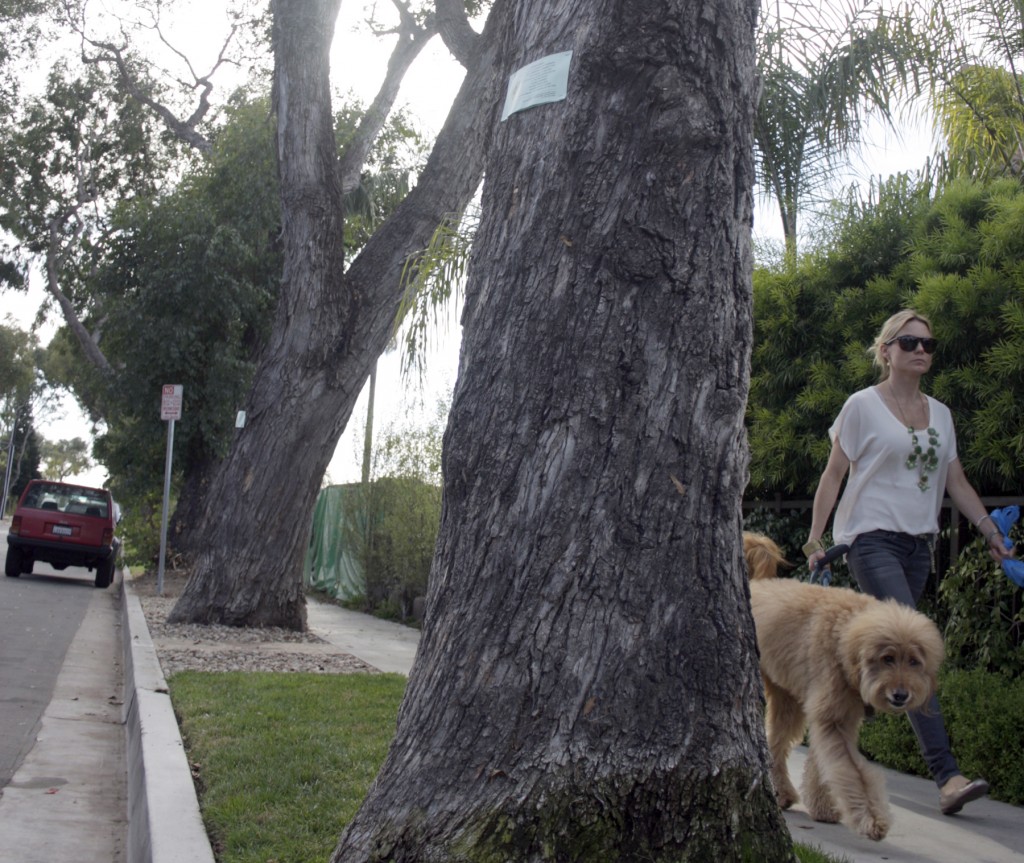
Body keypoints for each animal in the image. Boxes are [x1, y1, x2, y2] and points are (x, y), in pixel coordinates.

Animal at [737, 528, 942, 839]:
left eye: (914, 661)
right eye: (888, 658)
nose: (901, 696)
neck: (845, 635)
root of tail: (758, 586)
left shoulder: (838, 717)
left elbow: (824, 764)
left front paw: (824, 808)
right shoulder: (832, 718)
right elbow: (852, 772)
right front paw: (872, 818)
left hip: (788, 700)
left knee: (776, 743)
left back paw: (782, 793)